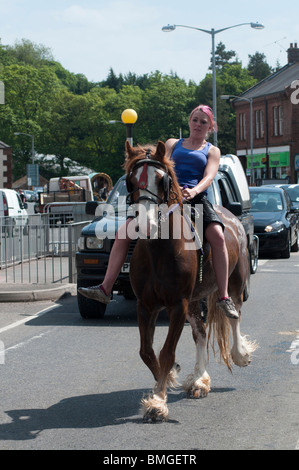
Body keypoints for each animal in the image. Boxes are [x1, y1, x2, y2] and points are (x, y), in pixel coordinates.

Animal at [124, 140, 258, 422]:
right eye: (130, 181)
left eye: (162, 179)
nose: (145, 225)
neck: (160, 249)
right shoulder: (146, 305)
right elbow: (147, 351)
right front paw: (165, 383)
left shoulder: (177, 305)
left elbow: (166, 352)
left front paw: (158, 402)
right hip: (195, 300)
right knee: (201, 332)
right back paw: (199, 380)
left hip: (235, 283)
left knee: (235, 315)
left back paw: (240, 354)